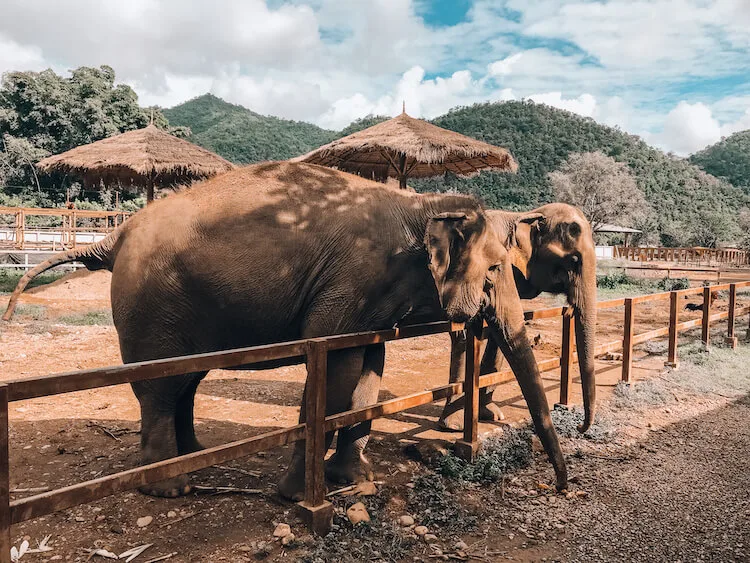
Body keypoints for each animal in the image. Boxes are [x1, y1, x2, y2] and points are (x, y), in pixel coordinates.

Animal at [2, 162, 568, 498]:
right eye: (494, 271)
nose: (562, 488)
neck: (421, 208)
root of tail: (115, 237)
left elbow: (368, 370)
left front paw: (355, 482)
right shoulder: (351, 281)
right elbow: (334, 370)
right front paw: (297, 496)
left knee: (187, 380)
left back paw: (196, 455)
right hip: (150, 305)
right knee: (161, 386)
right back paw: (170, 486)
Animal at [440, 205, 600, 434]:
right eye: (573, 261)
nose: (579, 426)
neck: (529, 215)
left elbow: (502, 332)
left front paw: (491, 415)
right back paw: (452, 425)